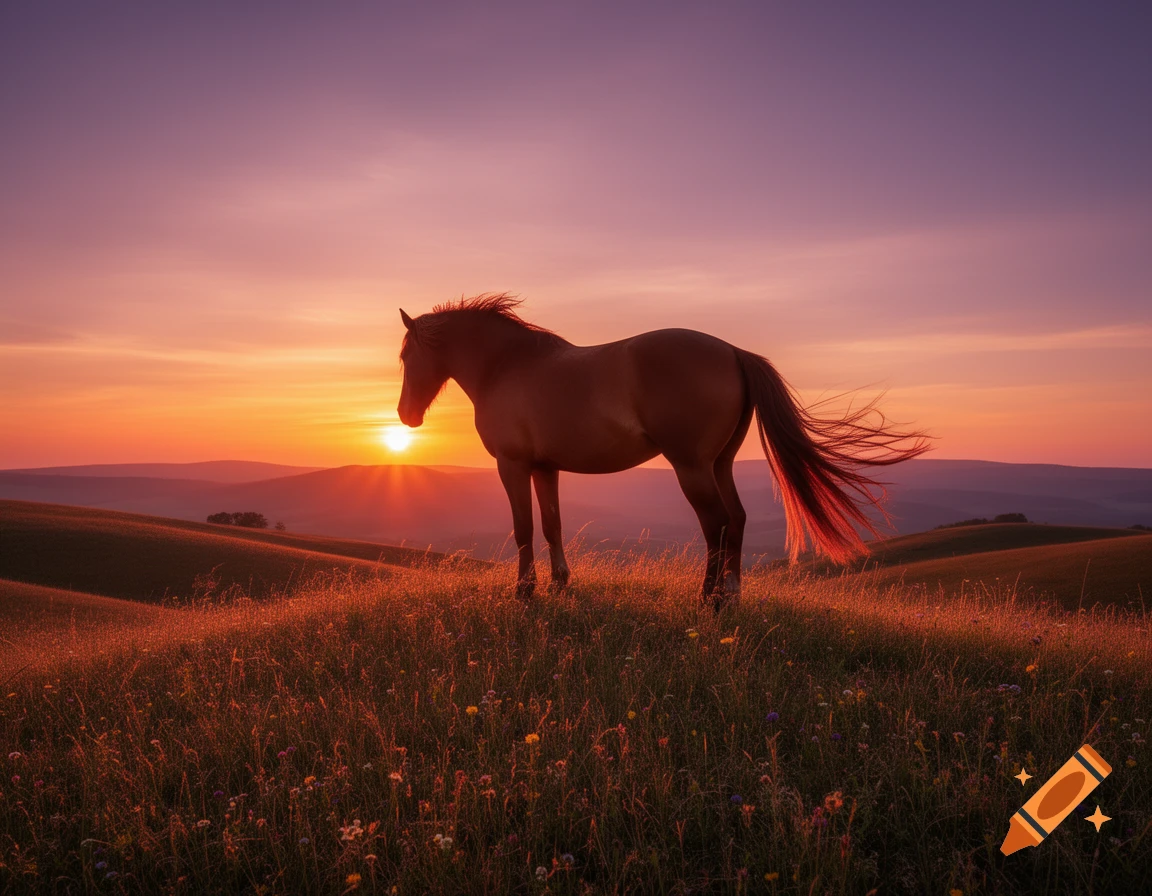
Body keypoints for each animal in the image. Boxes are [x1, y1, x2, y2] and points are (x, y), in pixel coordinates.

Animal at [396, 293, 929, 608]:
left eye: (405, 355)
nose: (406, 416)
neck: (507, 366)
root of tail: (734, 351)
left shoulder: (513, 466)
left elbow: (524, 528)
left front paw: (524, 594)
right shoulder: (546, 468)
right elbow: (552, 526)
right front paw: (560, 583)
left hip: (691, 466)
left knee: (716, 522)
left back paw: (708, 599)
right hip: (719, 464)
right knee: (736, 520)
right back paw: (731, 597)